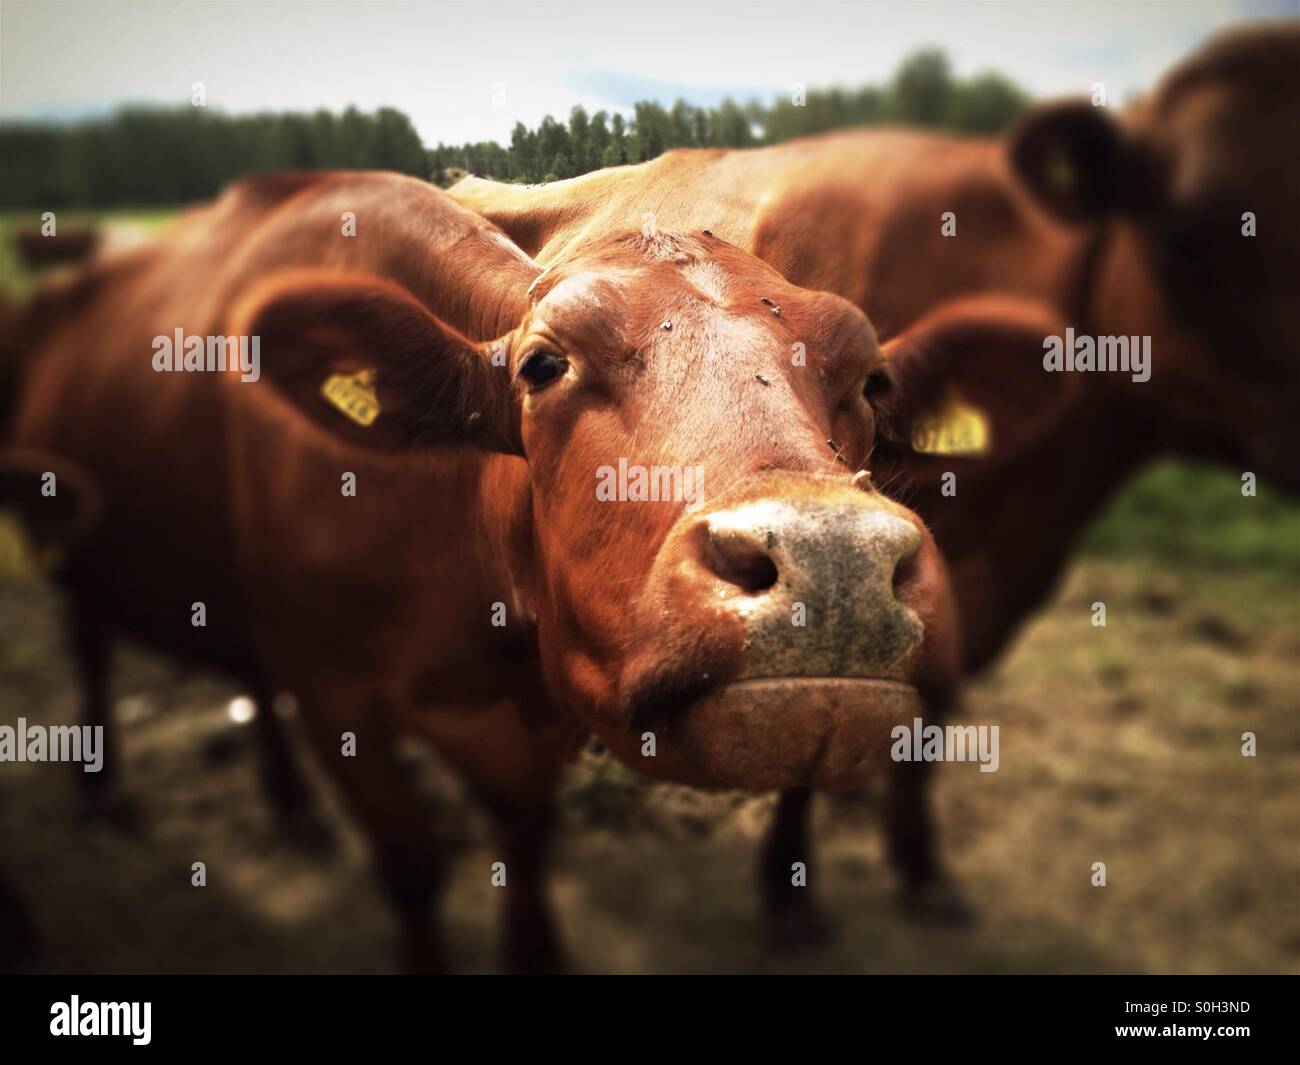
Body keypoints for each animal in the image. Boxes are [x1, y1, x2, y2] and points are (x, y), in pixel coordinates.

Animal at [6, 171, 1062, 969]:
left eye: (872, 382)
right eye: (543, 365)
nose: (836, 560)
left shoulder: (539, 709)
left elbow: (523, 831)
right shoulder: (337, 687)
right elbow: (410, 863)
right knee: (88, 636)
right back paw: (101, 787)